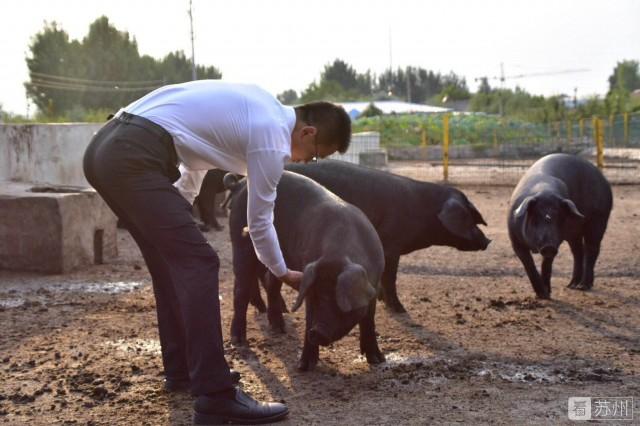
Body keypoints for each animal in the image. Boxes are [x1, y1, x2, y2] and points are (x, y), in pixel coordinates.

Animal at [226, 171, 384, 372]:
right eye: (316, 296)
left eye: (336, 300)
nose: (316, 332)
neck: (340, 251)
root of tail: (239, 184)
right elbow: (309, 316)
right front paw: (303, 367)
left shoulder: (376, 284)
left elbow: (369, 320)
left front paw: (377, 360)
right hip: (240, 242)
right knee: (240, 291)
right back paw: (238, 340)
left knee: (272, 284)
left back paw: (279, 329)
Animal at [284, 160, 490, 312]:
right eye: (468, 217)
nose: (488, 240)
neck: (424, 212)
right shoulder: (392, 246)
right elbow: (391, 278)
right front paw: (400, 309)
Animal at [508, 154, 612, 300]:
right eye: (535, 218)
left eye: (560, 219)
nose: (548, 246)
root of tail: (604, 180)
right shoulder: (515, 242)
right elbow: (529, 265)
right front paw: (543, 295)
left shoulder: (555, 242)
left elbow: (546, 264)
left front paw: (546, 294)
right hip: (574, 234)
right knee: (578, 252)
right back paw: (572, 285)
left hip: (599, 219)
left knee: (592, 249)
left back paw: (583, 286)